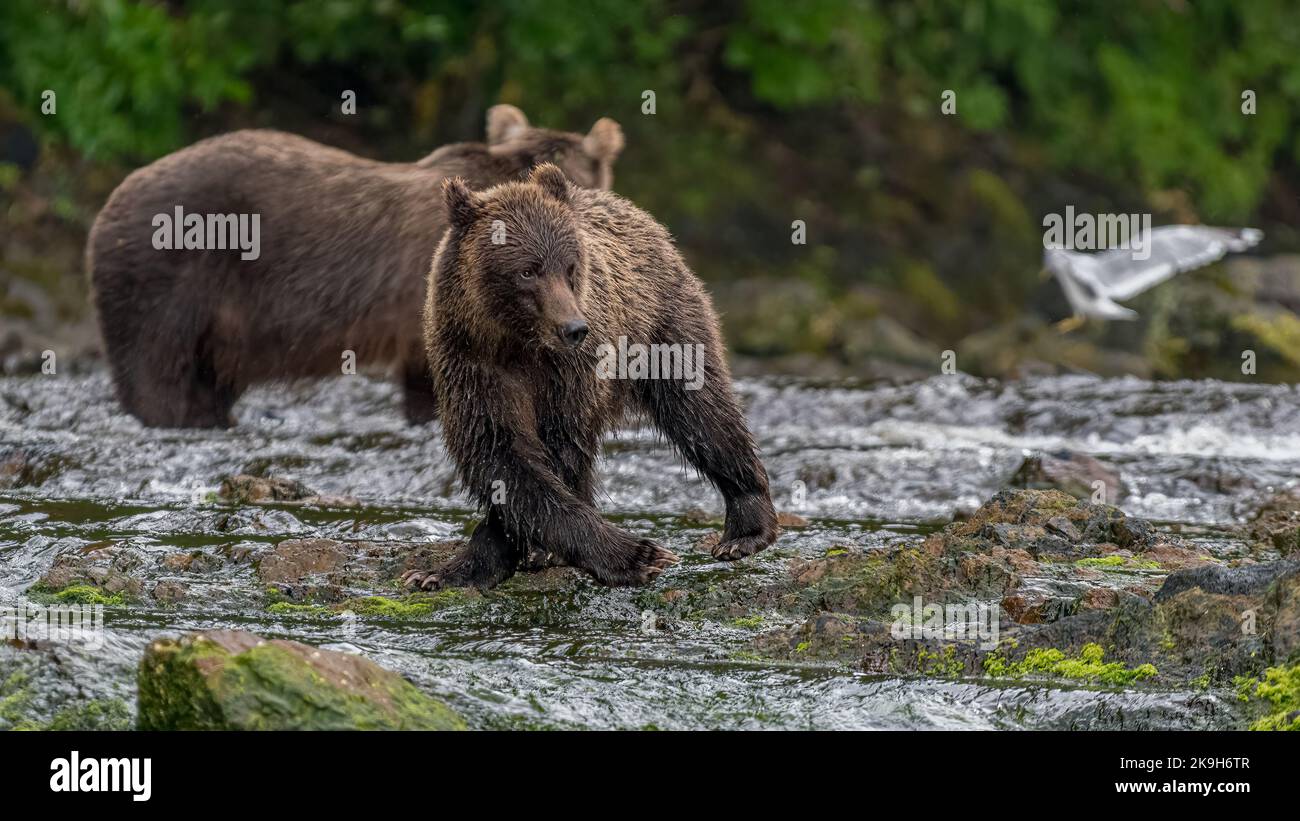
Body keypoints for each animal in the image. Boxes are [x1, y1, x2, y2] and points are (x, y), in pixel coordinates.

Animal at [400, 161, 774, 589]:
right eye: (527, 271)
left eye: (570, 266)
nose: (574, 328)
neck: (517, 343)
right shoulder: (471, 363)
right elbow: (500, 453)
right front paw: (449, 570)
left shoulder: (568, 374)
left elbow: (553, 452)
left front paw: (639, 555)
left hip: (663, 326)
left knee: (701, 410)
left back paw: (744, 529)